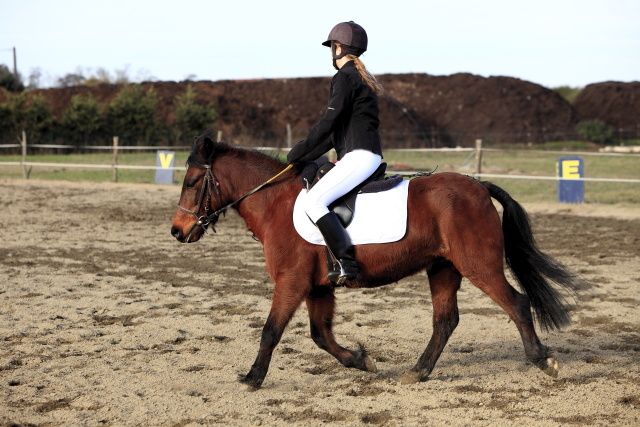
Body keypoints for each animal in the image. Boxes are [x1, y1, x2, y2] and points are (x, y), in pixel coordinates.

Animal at [171, 135, 580, 392]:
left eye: (191, 181)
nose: (177, 230)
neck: (275, 203)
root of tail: (477, 185)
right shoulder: (318, 287)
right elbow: (320, 334)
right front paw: (360, 360)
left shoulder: (291, 281)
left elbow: (271, 330)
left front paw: (253, 377)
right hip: (443, 268)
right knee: (445, 320)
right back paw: (417, 372)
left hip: (478, 265)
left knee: (516, 303)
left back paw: (543, 361)